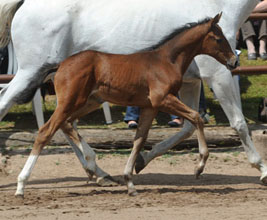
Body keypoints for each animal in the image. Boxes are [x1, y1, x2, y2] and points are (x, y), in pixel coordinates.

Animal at [15, 13, 238, 196]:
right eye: (219, 38)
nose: (234, 61)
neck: (167, 60)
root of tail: (60, 65)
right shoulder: (163, 99)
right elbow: (196, 117)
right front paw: (199, 166)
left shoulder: (150, 106)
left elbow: (139, 139)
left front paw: (130, 182)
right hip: (72, 101)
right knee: (46, 130)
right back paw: (21, 185)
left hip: (88, 101)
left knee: (66, 124)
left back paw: (92, 163)